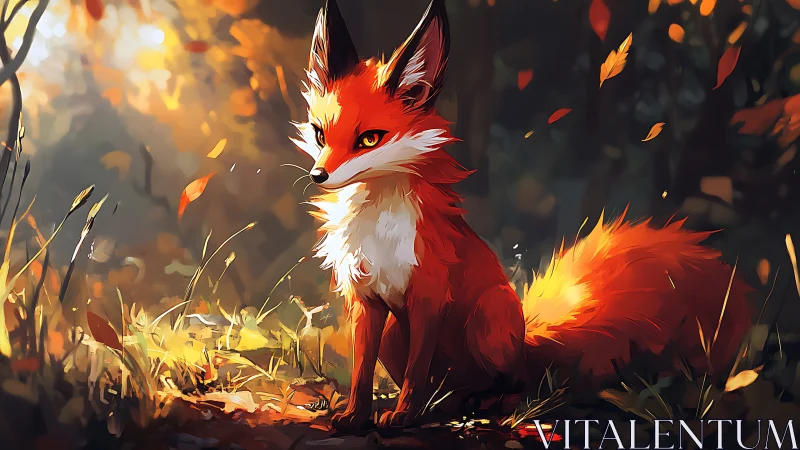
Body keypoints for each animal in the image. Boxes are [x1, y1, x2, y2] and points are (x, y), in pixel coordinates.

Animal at [292, 0, 753, 430]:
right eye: (319, 134)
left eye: (369, 139)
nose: (319, 176)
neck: (378, 229)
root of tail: (527, 343)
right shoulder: (365, 299)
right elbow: (361, 372)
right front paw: (356, 415)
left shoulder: (429, 296)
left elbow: (414, 372)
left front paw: (403, 415)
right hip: (398, 336)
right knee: (454, 389)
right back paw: (449, 406)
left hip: (488, 317)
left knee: (513, 386)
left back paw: (483, 406)